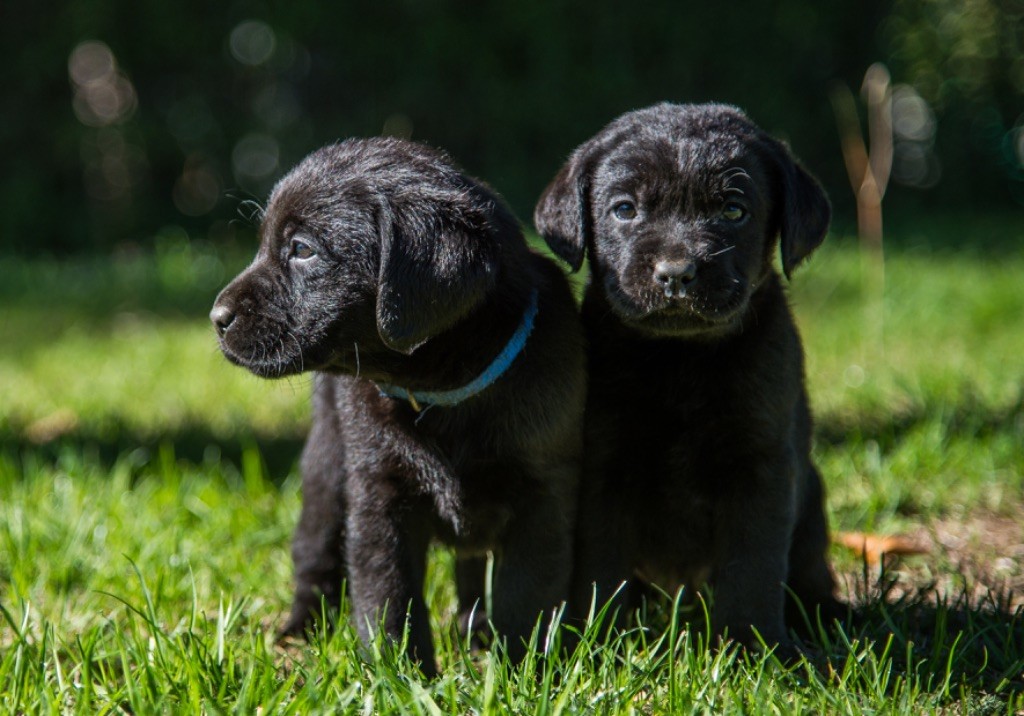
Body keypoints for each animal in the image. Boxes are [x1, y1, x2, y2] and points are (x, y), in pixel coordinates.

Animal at [209, 137, 585, 676]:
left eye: (301, 249)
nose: (216, 317)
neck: (441, 395)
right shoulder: (378, 494)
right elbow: (388, 594)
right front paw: (402, 675)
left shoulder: (544, 494)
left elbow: (524, 597)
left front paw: (521, 673)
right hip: (327, 465)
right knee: (315, 554)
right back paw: (299, 633)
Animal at [536, 102, 839, 651]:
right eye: (625, 210)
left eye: (733, 211)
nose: (676, 273)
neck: (679, 360)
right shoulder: (603, 465)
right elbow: (600, 566)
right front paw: (599, 642)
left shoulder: (761, 465)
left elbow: (753, 566)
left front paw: (752, 646)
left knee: (809, 573)